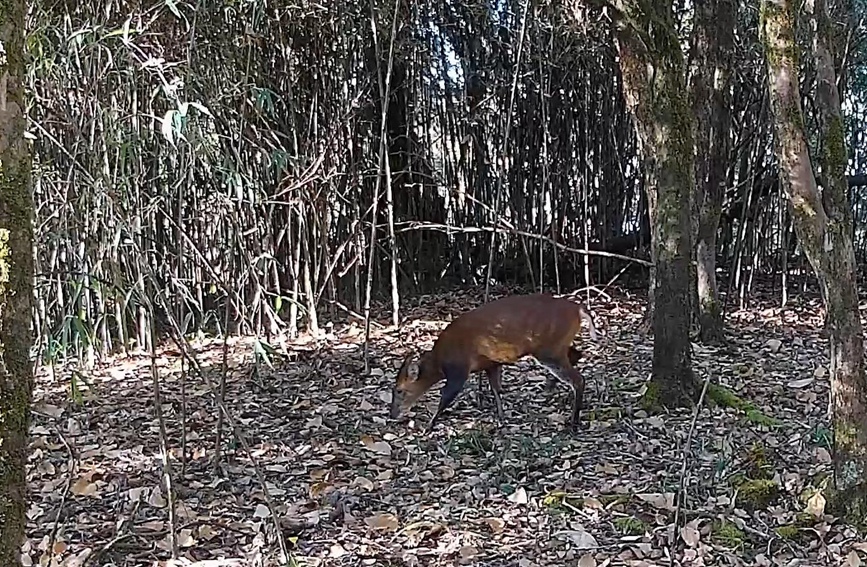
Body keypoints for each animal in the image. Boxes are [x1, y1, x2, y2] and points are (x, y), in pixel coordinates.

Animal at [390, 296, 600, 432]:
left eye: (399, 390)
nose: (392, 414)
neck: (440, 361)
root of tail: (578, 309)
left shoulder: (459, 368)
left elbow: (446, 396)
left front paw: (428, 426)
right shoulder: (490, 363)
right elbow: (496, 389)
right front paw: (501, 418)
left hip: (549, 349)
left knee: (578, 379)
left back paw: (573, 423)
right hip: (555, 346)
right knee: (577, 354)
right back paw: (550, 387)